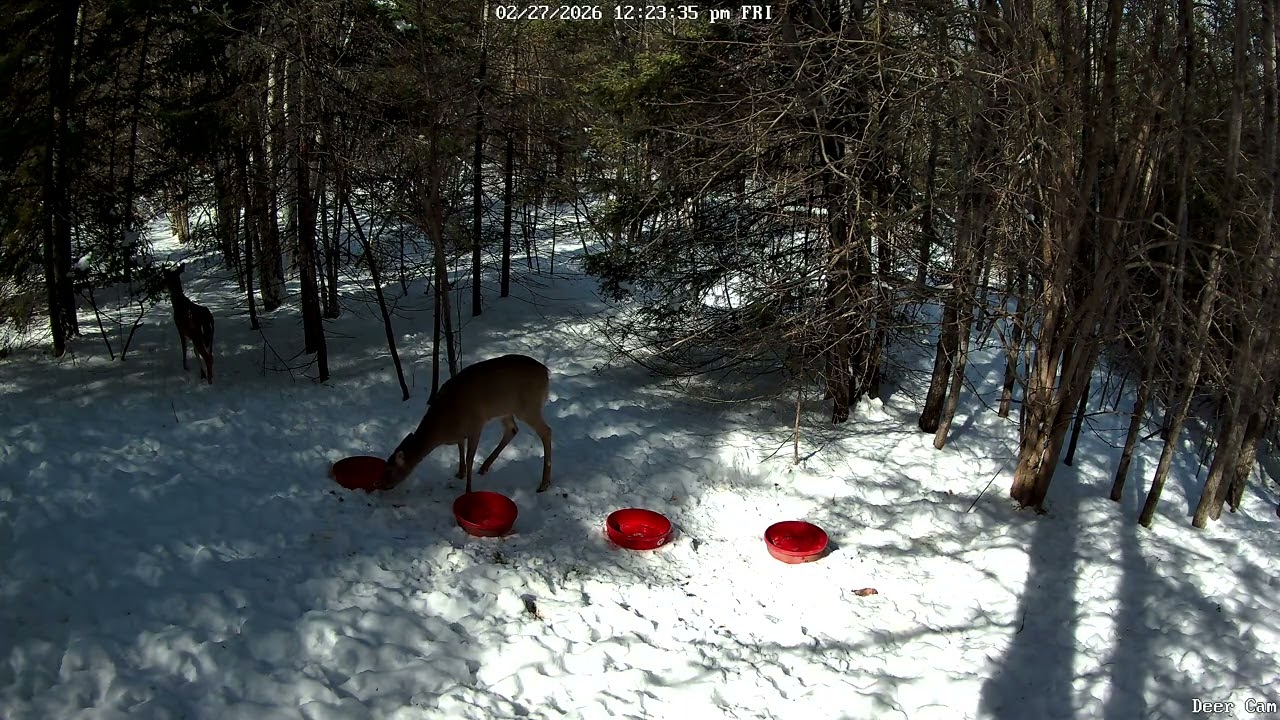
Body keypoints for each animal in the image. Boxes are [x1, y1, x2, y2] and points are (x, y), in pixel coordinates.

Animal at [381, 354, 553, 494]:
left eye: (389, 470)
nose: (383, 485)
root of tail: (546, 372)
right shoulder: (463, 431)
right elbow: (460, 448)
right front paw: (460, 473)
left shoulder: (476, 424)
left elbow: (469, 457)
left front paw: (468, 490)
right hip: (505, 409)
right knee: (512, 429)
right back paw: (484, 467)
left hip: (528, 407)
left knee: (546, 431)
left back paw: (544, 484)